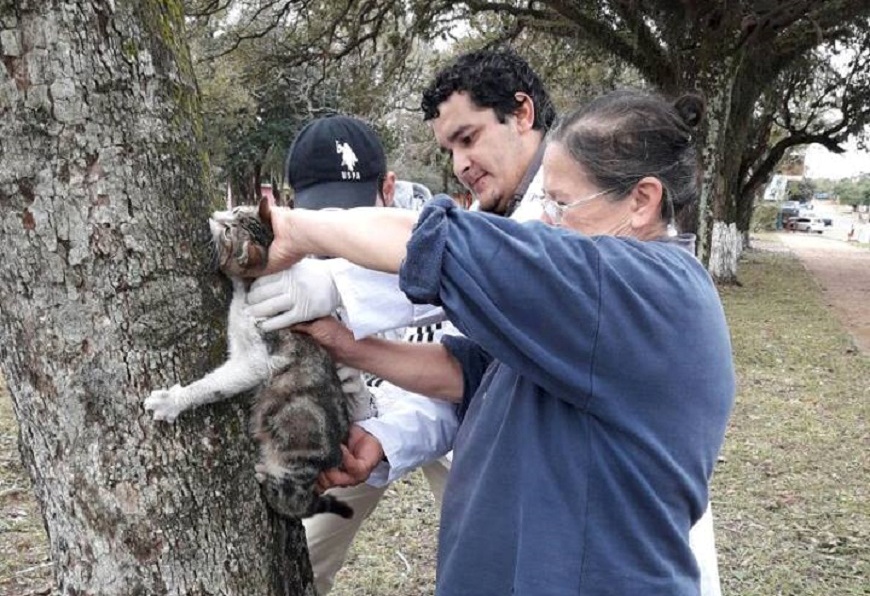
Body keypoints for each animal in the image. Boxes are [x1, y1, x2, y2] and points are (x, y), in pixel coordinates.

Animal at [146, 198, 354, 520]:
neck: (247, 291)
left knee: (295, 504)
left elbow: (214, 386)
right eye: (234, 212)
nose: (214, 215)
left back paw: (268, 482)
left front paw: (174, 401)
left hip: (294, 458)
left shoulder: (259, 358)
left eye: (227, 231)